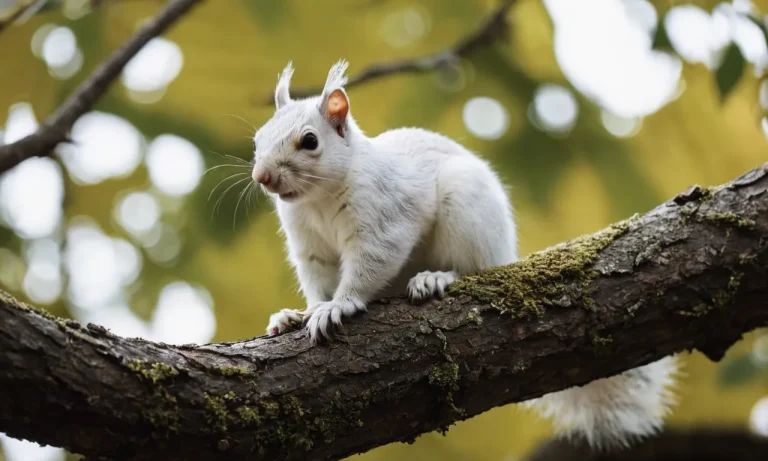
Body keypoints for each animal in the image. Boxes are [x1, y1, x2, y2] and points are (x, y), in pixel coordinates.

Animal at [252, 60, 680, 450]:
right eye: (257, 140)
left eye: (310, 141)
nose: (262, 177)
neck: (319, 200)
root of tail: (505, 255)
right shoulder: (309, 248)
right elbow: (317, 280)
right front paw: (302, 313)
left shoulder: (385, 218)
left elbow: (370, 264)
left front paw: (339, 306)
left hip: (466, 210)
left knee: (471, 269)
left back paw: (436, 277)